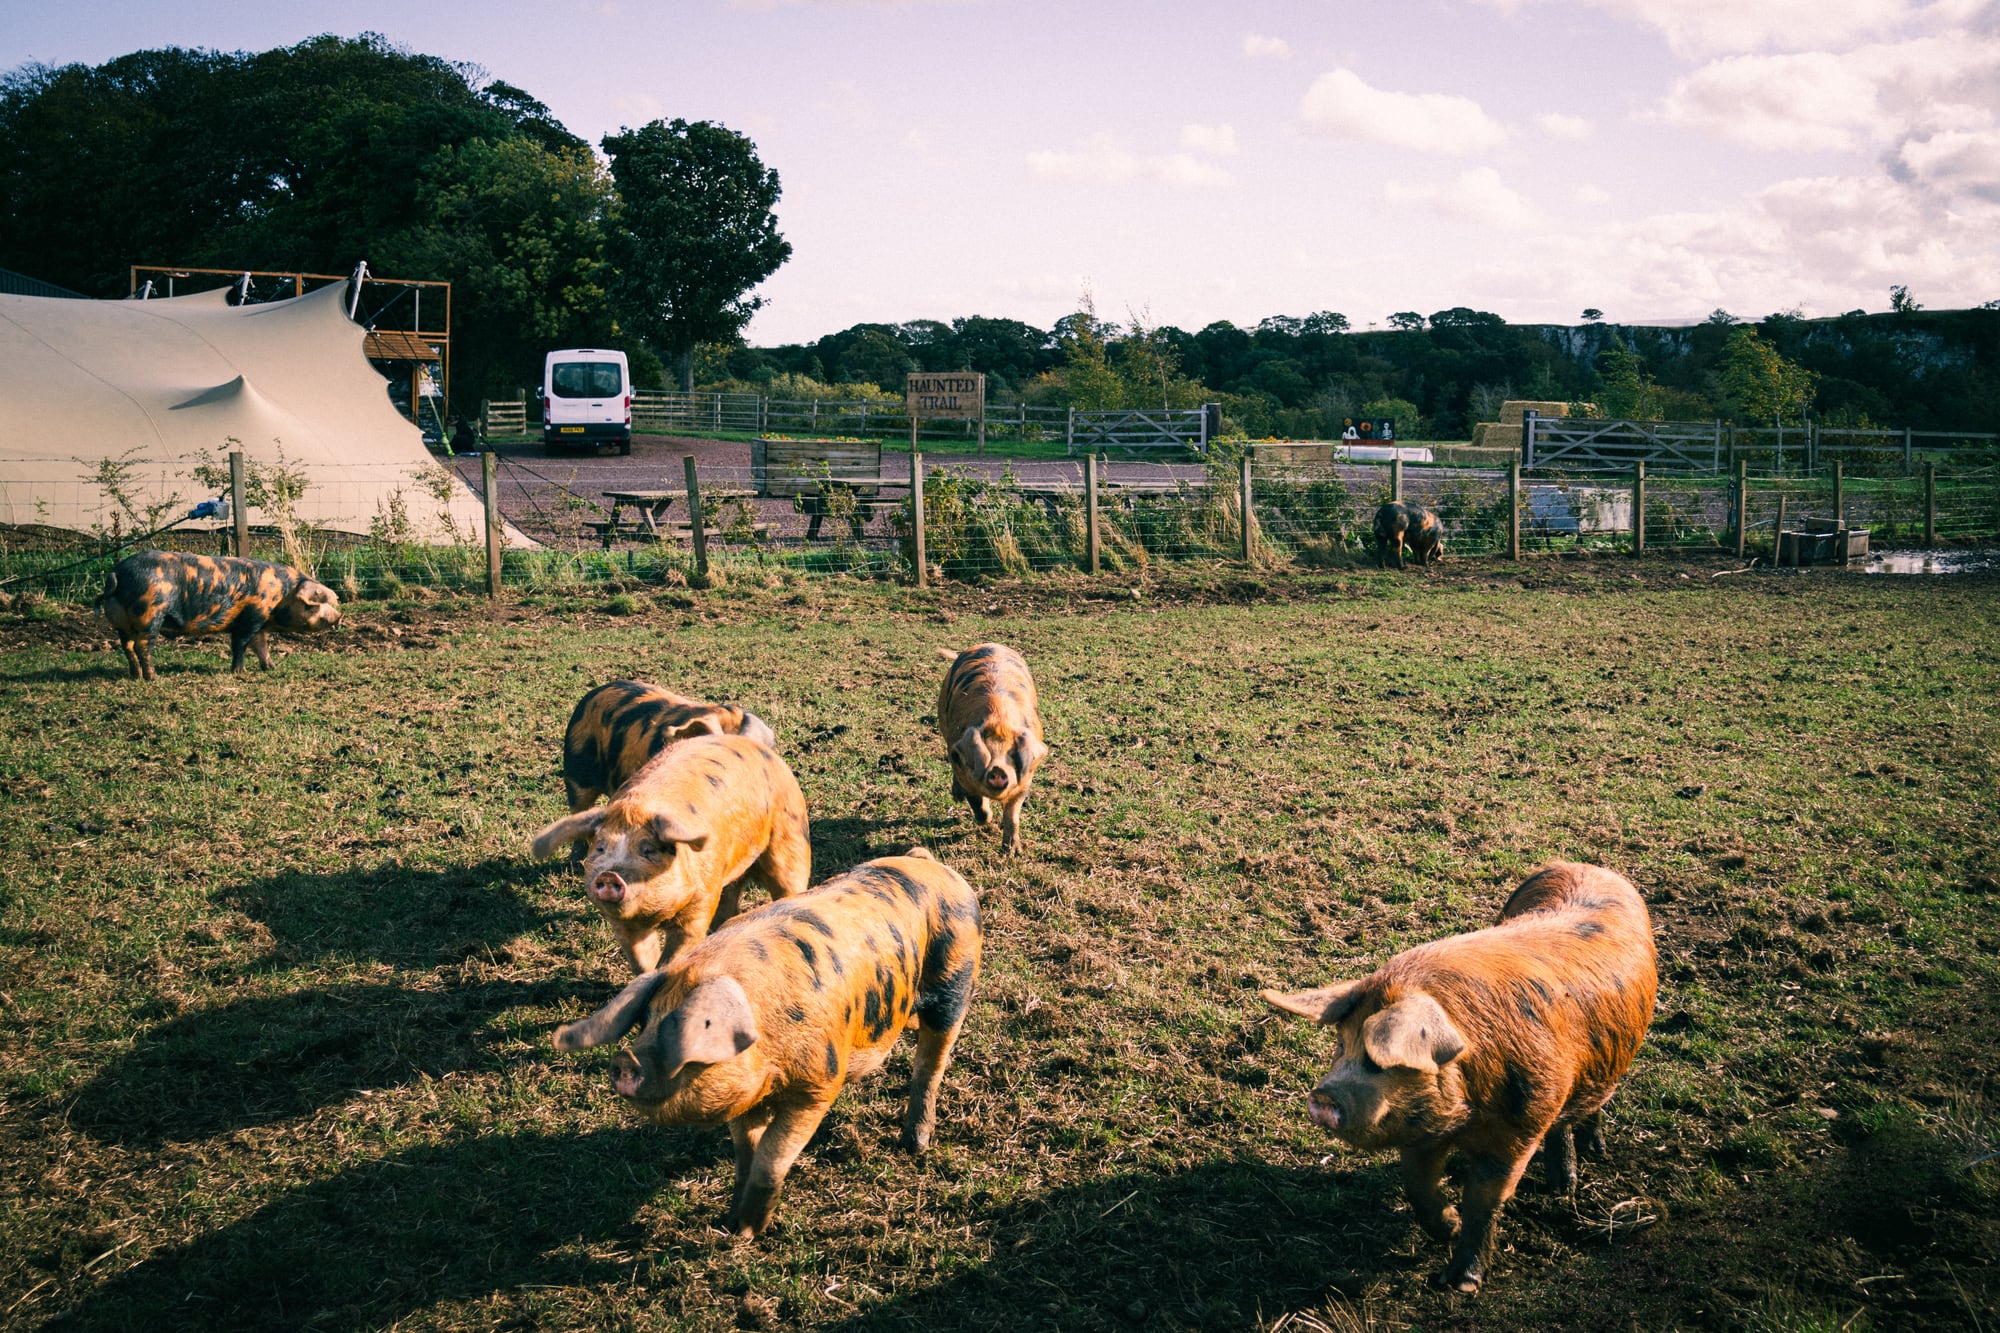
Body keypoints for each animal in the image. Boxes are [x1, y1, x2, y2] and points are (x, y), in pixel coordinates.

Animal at [96, 550, 340, 681]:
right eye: (315, 604)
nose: (339, 617)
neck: (281, 593)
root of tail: (116, 574)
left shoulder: (259, 622)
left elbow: (261, 646)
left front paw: (271, 668)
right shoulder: (252, 615)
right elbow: (240, 644)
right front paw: (240, 672)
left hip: (122, 624)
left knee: (127, 646)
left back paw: (135, 675)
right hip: (150, 613)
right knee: (142, 646)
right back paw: (153, 677)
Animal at [529, 732, 811, 974]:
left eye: (648, 850)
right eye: (600, 847)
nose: (610, 875)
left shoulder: (702, 898)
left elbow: (680, 946)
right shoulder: (623, 923)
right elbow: (639, 957)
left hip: (790, 838)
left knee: (787, 883)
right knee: (730, 902)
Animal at [553, 848, 982, 1239]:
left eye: (699, 1027)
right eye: (646, 1021)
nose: (626, 1060)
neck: (770, 1055)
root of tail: (931, 864)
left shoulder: (818, 1085)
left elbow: (772, 1155)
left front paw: (750, 1230)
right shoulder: (745, 1093)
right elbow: (747, 1151)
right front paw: (731, 1226)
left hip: (955, 986)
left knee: (931, 1063)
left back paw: (915, 1145)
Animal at [936, 643, 1047, 855]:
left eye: (1012, 754)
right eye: (985, 753)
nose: (997, 770)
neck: (999, 720)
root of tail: (988, 644)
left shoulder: (1025, 781)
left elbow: (1013, 814)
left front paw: (1013, 853)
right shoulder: (963, 772)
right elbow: (977, 804)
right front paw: (987, 821)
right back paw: (957, 797)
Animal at [1263, 861, 1657, 1294]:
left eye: (1379, 1060)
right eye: (1340, 1044)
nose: (1323, 1097)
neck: (1466, 1117)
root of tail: (1587, 865)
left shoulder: (1518, 1131)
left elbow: (1483, 1201)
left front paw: (1461, 1284)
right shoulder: (1421, 1130)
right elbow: (1417, 1185)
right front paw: (1448, 1226)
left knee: (1588, 1107)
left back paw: (1584, 1165)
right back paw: (1561, 1185)